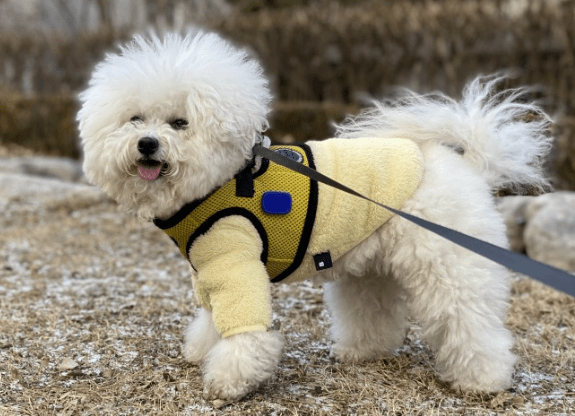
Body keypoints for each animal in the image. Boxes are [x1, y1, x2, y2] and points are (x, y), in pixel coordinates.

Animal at [76, 30, 552, 402]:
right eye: (135, 119)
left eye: (180, 123)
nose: (147, 144)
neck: (220, 180)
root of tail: (467, 164)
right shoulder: (210, 268)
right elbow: (214, 318)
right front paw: (203, 350)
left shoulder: (236, 262)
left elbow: (244, 328)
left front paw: (229, 379)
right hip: (371, 269)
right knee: (375, 312)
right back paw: (363, 351)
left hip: (450, 267)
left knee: (468, 321)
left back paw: (481, 380)